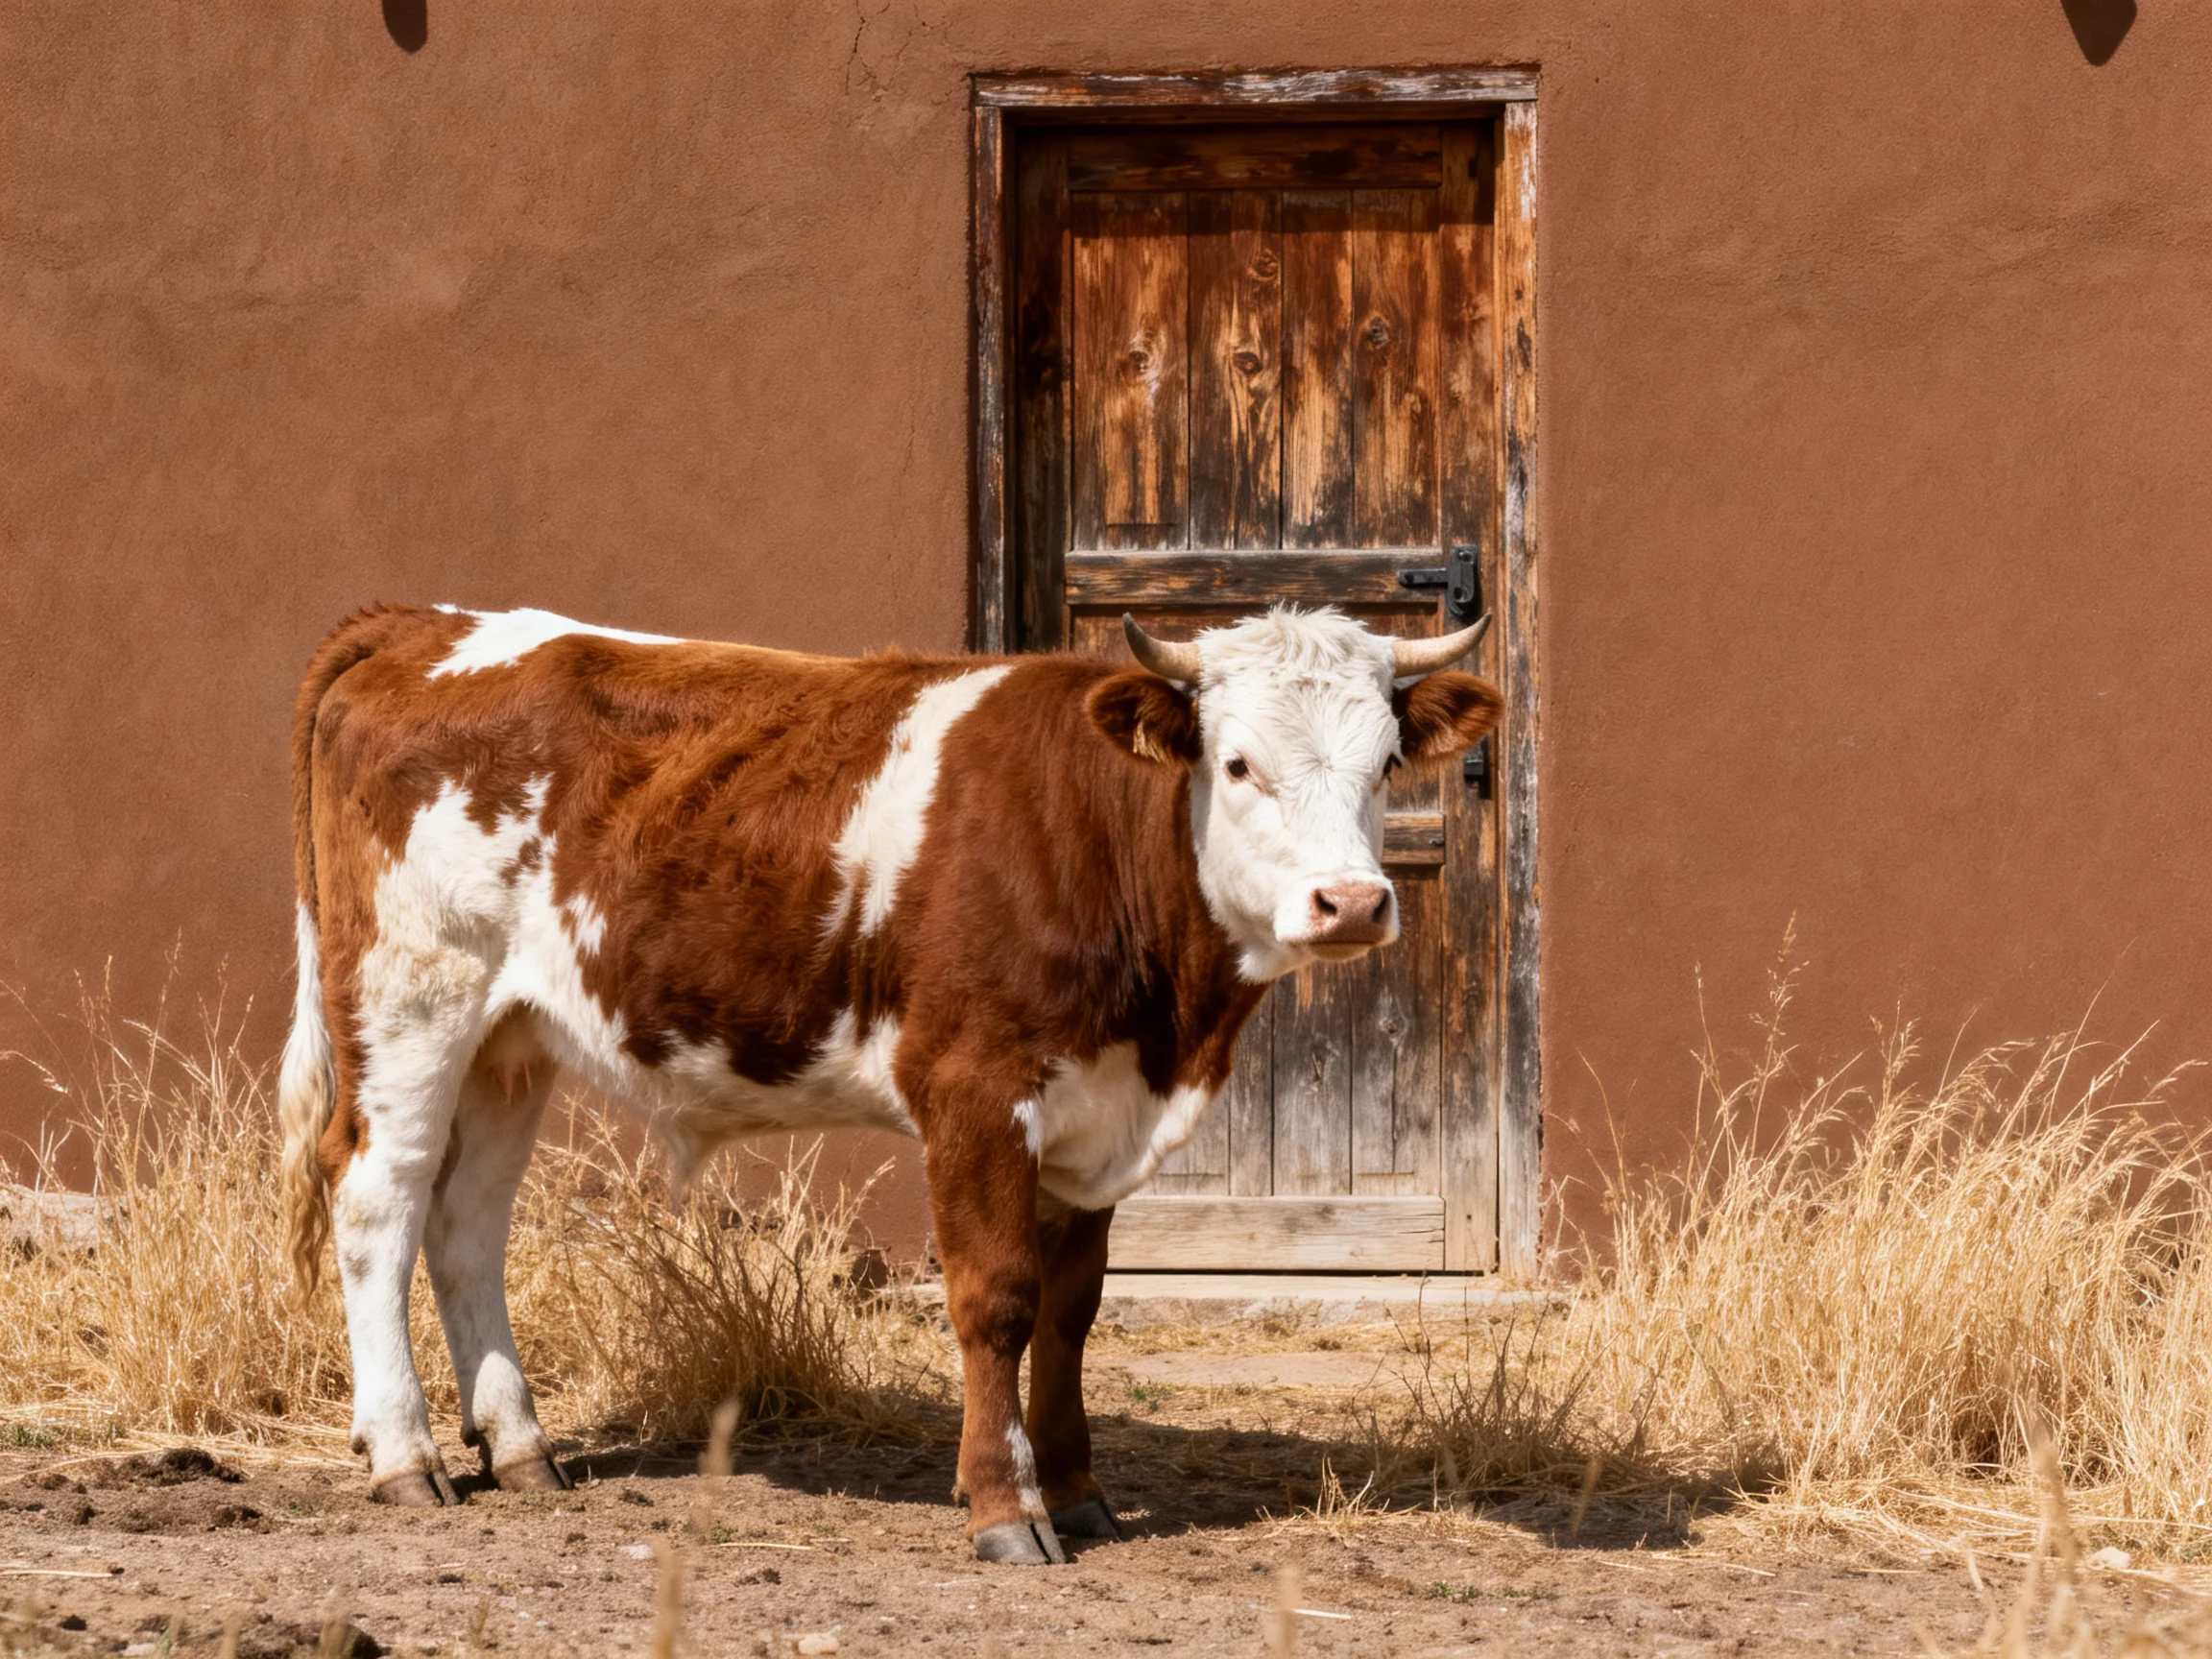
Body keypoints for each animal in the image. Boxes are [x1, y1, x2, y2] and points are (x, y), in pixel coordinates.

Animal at [277, 601, 1501, 1563]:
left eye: (1385, 765)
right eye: (1239, 764)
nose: (1352, 903)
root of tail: (423, 626)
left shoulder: (1093, 1116)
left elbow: (1072, 1313)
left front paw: (1080, 1494)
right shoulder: (974, 1090)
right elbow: (996, 1302)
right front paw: (1007, 1510)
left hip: (510, 1040)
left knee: (469, 1222)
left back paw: (521, 1448)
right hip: (410, 1000)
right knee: (379, 1203)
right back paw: (405, 1455)